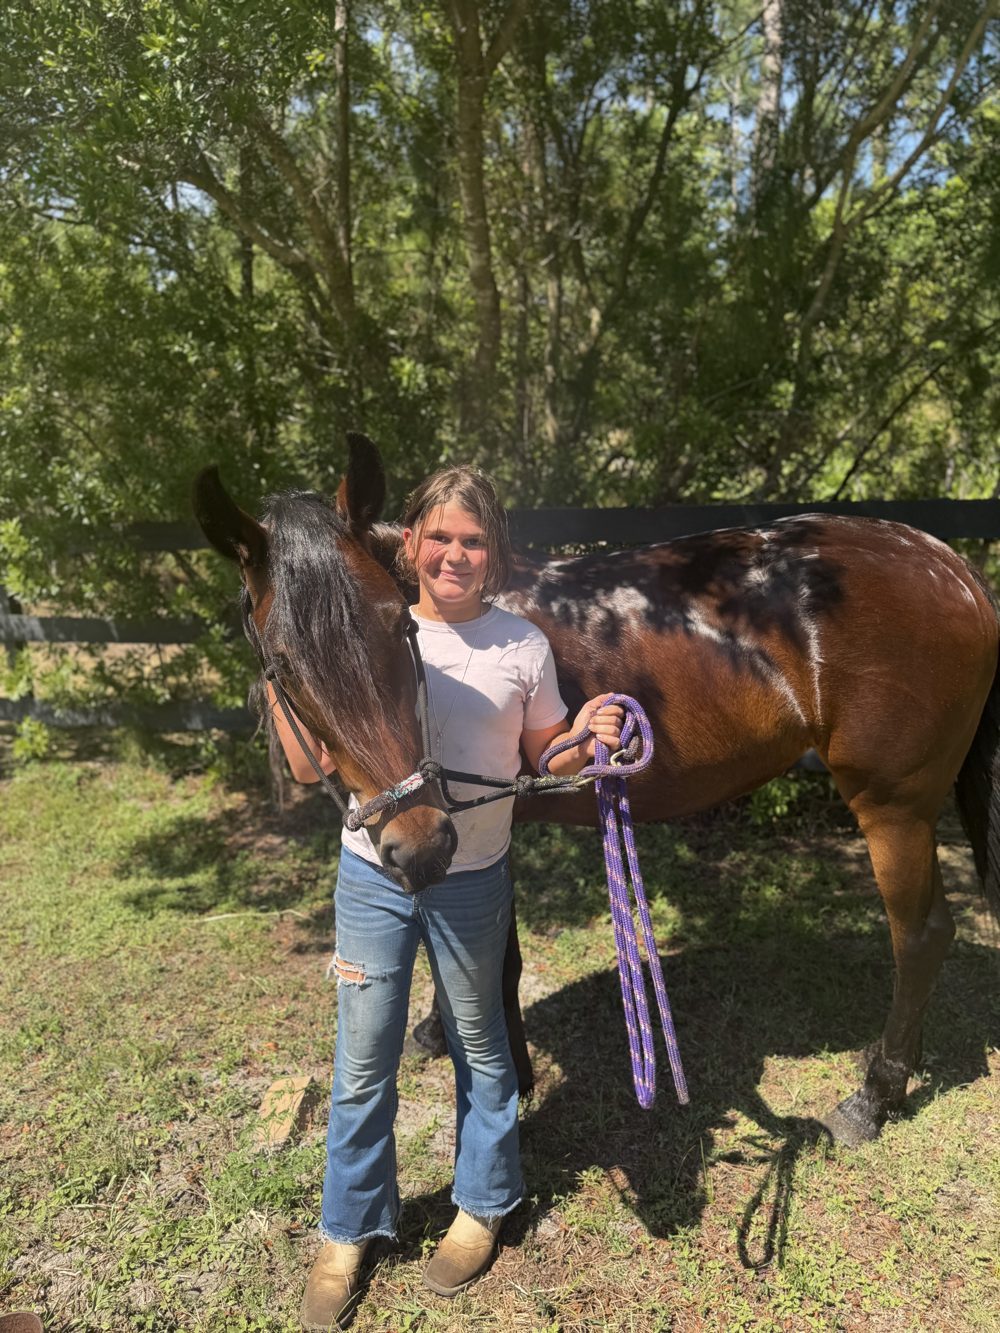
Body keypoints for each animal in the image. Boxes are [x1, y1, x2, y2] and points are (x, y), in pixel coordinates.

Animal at [192, 431, 1000, 1148]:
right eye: (283, 663)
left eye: (399, 627)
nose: (416, 845)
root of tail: (947, 564)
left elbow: (499, 963)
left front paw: (511, 1081)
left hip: (894, 807)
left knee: (921, 935)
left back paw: (873, 1096)